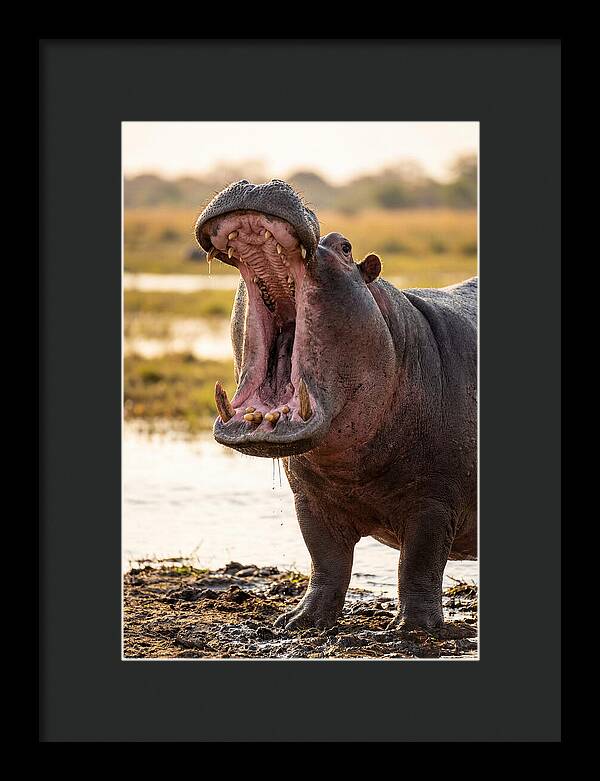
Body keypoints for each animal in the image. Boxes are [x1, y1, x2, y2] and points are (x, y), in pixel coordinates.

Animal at [195, 180, 477, 630]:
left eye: (345, 247)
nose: (258, 183)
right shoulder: (309, 500)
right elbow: (326, 560)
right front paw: (299, 621)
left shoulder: (434, 503)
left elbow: (419, 564)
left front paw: (414, 629)